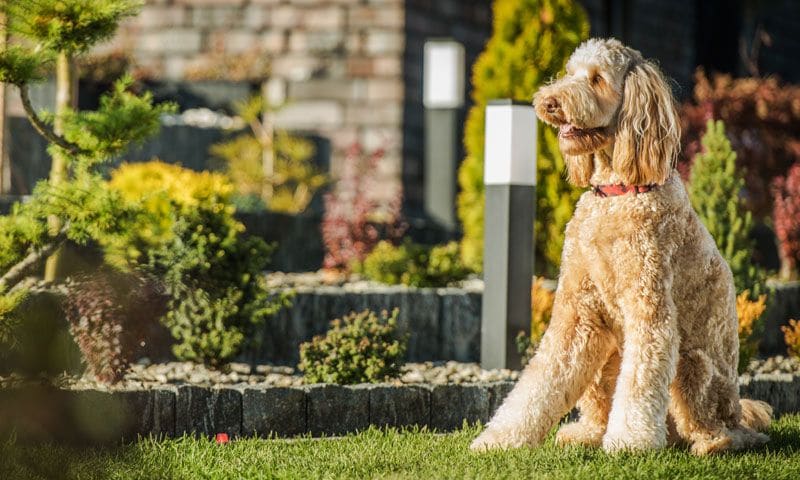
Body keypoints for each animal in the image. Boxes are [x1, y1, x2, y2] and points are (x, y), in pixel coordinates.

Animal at [472, 39, 772, 456]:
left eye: (598, 79)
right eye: (570, 72)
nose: (549, 101)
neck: (617, 193)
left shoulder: (650, 312)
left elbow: (640, 382)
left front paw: (630, 441)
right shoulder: (576, 313)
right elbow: (541, 379)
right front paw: (500, 437)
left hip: (695, 367)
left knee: (726, 428)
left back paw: (713, 442)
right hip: (605, 355)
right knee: (600, 405)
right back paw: (586, 433)